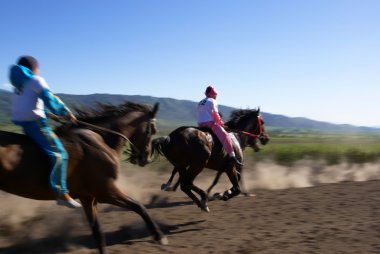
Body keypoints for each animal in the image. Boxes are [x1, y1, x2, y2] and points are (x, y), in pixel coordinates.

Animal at [0, 101, 168, 254]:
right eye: (153, 130)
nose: (146, 158)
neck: (100, 141)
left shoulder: (88, 197)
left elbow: (97, 231)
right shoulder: (105, 192)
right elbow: (139, 206)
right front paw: (159, 237)